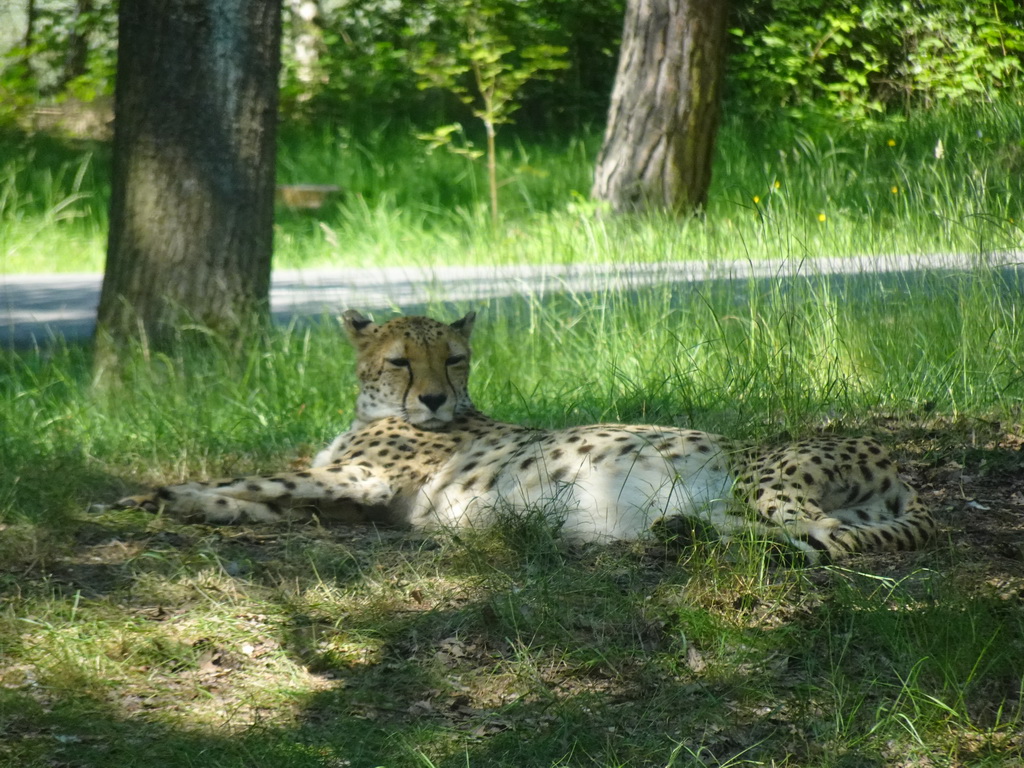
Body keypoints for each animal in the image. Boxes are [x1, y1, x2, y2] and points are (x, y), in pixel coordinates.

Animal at [117, 309, 937, 561]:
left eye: (453, 356)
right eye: (401, 359)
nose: (436, 398)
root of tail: (899, 467)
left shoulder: (364, 481)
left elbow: (252, 477)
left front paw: (154, 497)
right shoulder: (356, 498)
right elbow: (260, 494)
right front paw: (191, 505)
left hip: (765, 480)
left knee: (823, 537)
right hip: (740, 501)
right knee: (802, 534)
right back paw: (675, 536)